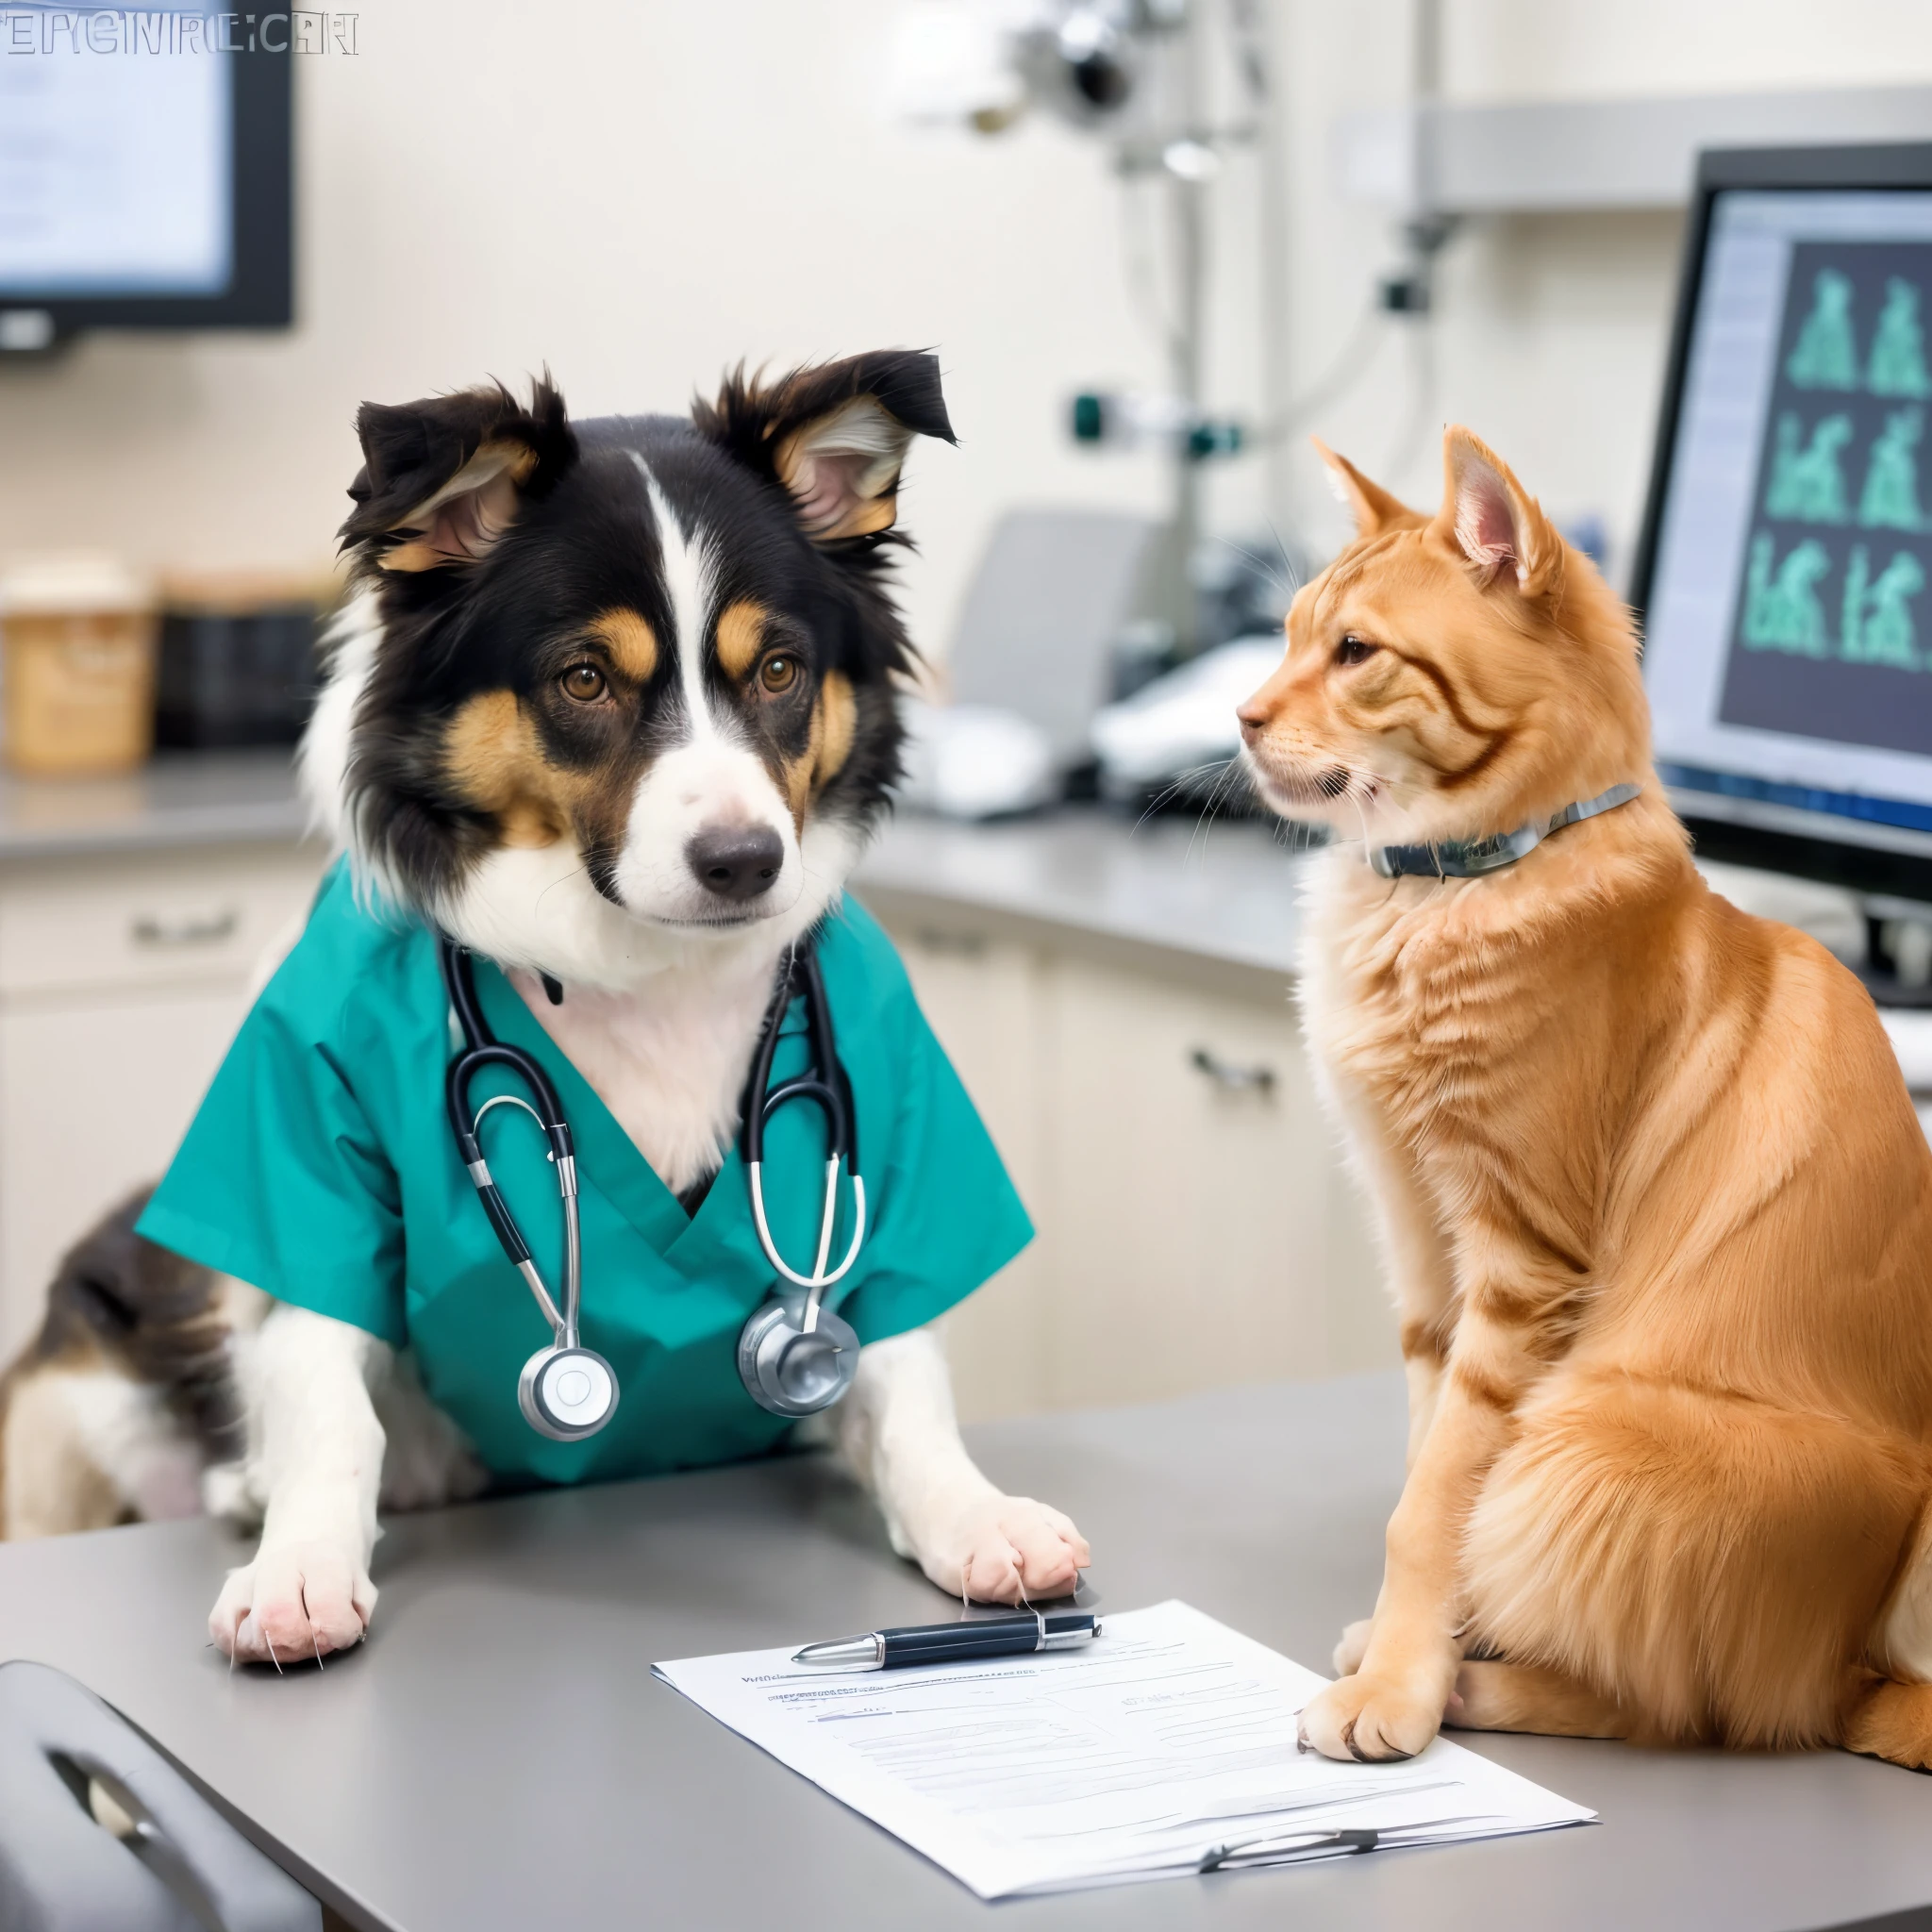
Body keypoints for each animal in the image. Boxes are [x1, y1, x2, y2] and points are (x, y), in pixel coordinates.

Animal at [0, 351, 1090, 1661]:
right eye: (584, 678)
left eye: (777, 670)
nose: (744, 862)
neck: (642, 967)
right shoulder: (301, 1150)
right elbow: (323, 1390)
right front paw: (300, 1567)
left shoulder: (889, 1131)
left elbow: (900, 1374)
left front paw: (975, 1514)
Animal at [1236, 430, 1932, 1769]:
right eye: (1286, 633)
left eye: (1351, 652)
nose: (1237, 720)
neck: (1433, 893)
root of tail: (1861, 1653)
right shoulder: (1424, 1254)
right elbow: (1426, 1464)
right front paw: (1424, 1638)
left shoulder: (1519, 1259)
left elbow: (1432, 1501)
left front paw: (1402, 1680)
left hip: (1587, 1434)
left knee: (1701, 1708)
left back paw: (1485, 1689)